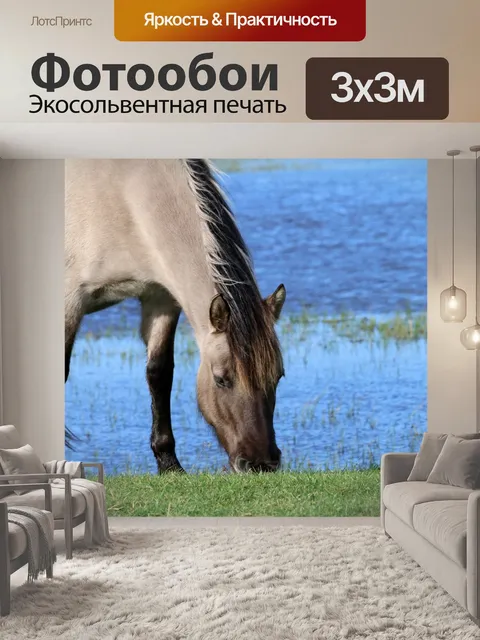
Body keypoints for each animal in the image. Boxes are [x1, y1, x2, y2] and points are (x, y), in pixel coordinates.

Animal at [65, 159, 286, 473]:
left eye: (277, 377)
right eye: (221, 380)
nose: (260, 463)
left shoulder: (161, 299)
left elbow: (159, 372)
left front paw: (169, 464)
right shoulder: (69, 302)